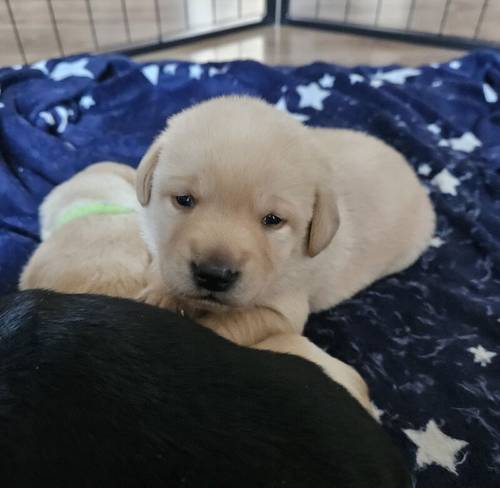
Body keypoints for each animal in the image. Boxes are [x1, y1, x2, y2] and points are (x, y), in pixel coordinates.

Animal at [136, 95, 434, 346]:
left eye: (273, 220)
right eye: (184, 199)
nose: (214, 275)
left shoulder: (283, 311)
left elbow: (232, 323)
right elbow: (159, 270)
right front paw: (161, 296)